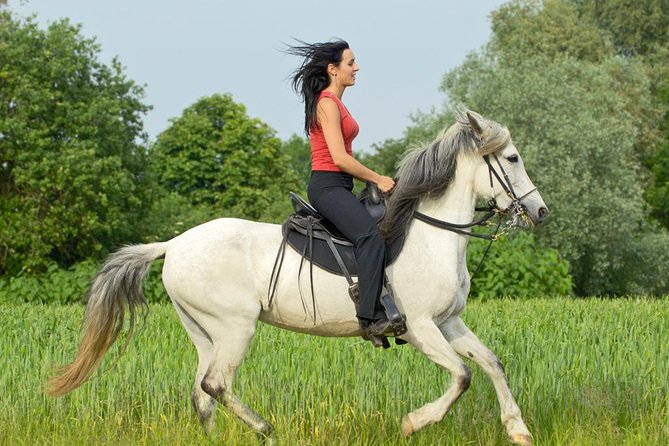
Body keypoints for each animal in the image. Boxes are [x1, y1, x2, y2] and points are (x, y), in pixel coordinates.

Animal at [48, 109, 547, 446]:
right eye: (513, 158)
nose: (540, 212)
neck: (430, 235)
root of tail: (173, 244)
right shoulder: (421, 326)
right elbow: (462, 376)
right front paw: (413, 422)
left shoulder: (449, 322)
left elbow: (492, 363)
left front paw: (518, 429)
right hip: (235, 327)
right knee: (216, 385)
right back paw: (266, 428)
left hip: (204, 332)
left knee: (202, 392)